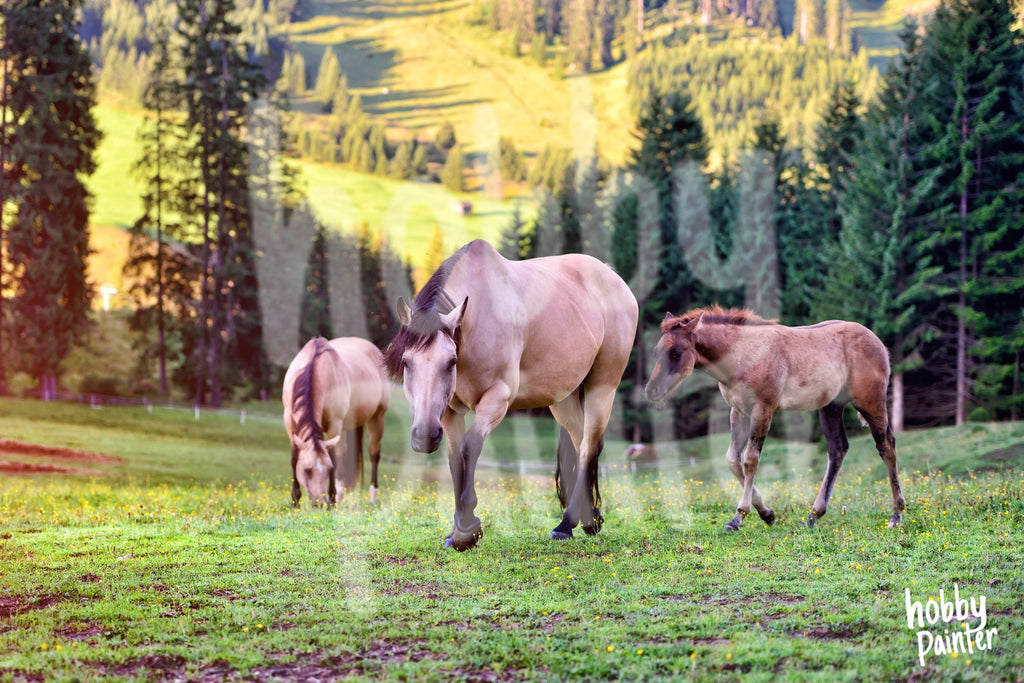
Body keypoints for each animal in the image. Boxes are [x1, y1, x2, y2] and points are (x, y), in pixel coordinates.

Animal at [282, 335, 389, 507]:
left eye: (327, 469)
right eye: (306, 470)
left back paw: (371, 497)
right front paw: (295, 501)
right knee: (344, 454)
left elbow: (333, 458)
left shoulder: (335, 423)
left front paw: (332, 500)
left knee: (373, 454)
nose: (319, 502)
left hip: (377, 417)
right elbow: (294, 458)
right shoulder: (289, 421)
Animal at [385, 239, 638, 548]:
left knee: (590, 445)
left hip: (603, 385)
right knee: (583, 445)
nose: (424, 436)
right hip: (563, 399)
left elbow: (470, 447)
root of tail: (612, 276)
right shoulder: (449, 412)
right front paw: (456, 531)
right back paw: (589, 518)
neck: (477, 320)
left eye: (451, 362)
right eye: (406, 362)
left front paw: (467, 530)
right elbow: (455, 459)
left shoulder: (498, 398)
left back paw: (566, 524)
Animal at [643, 305, 909, 532]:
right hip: (831, 407)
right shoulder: (738, 411)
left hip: (870, 402)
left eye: (676, 353)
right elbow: (732, 460)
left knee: (887, 446)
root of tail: (878, 342)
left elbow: (750, 460)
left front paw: (738, 517)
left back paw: (896, 515)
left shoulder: (763, 409)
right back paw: (813, 516)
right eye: (656, 352)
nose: (651, 390)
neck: (744, 355)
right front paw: (767, 513)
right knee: (838, 450)